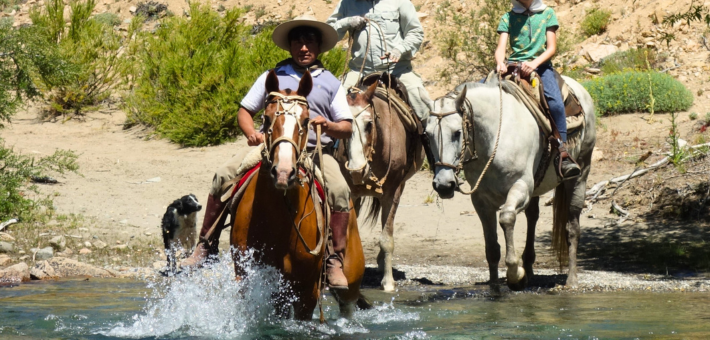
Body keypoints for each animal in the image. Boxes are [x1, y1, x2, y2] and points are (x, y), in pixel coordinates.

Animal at [231, 70, 370, 320]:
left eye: (306, 121)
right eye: (266, 119)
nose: (283, 172)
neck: (278, 218)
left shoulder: (307, 290)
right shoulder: (248, 278)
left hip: (351, 283)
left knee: (347, 306)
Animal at [336, 74, 426, 292]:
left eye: (369, 124)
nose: (357, 170)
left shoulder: (392, 193)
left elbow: (387, 239)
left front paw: (388, 282)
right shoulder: (352, 193)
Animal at [432, 77, 596, 290]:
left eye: (457, 133)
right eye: (427, 134)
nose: (443, 185)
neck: (494, 138)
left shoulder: (520, 187)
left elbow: (507, 218)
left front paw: (515, 274)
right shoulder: (481, 200)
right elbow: (492, 248)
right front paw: (495, 286)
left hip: (580, 175)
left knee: (572, 227)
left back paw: (571, 280)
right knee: (532, 217)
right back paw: (530, 268)